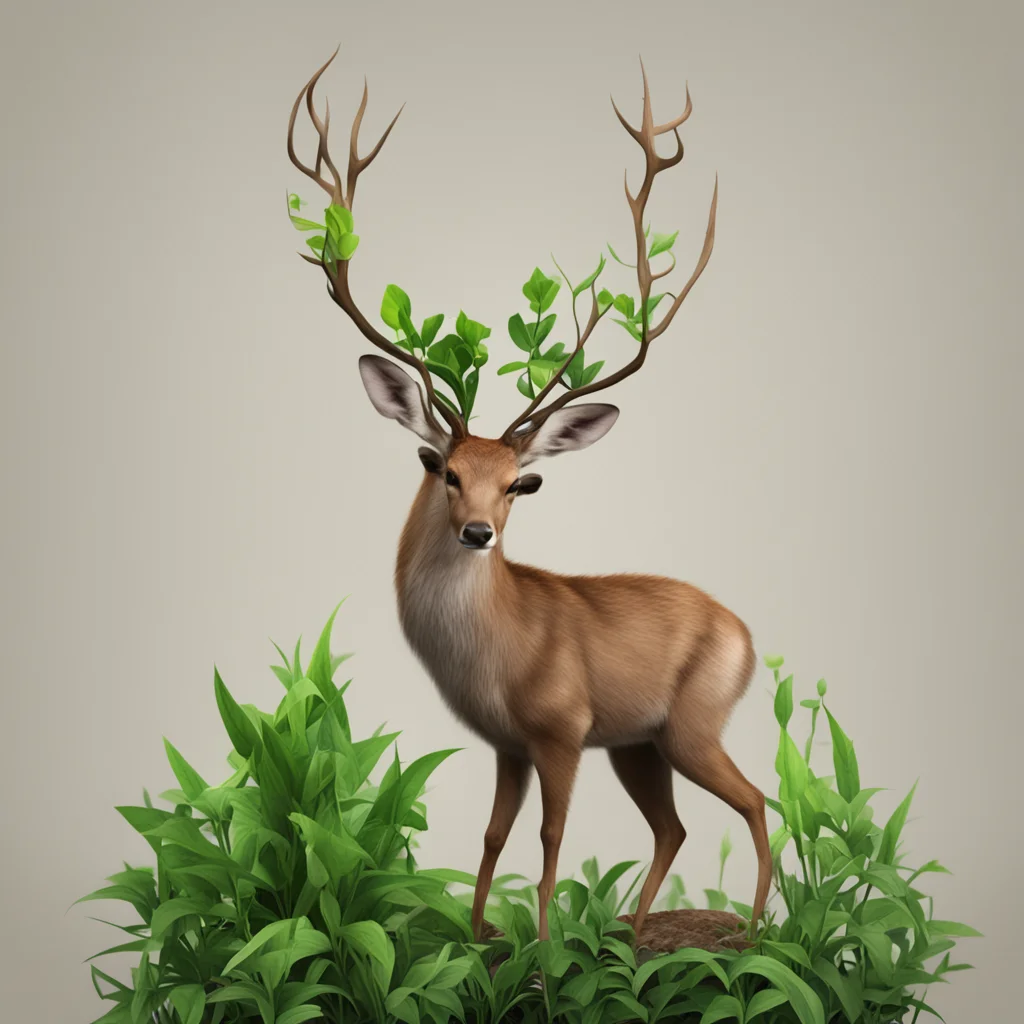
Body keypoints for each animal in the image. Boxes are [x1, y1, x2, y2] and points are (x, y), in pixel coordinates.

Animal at [287, 51, 772, 945]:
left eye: (522, 482)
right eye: (440, 467)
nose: (479, 531)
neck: (496, 656)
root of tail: (747, 635)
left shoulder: (561, 727)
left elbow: (550, 836)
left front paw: (544, 953)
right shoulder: (508, 744)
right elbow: (491, 835)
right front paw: (479, 937)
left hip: (690, 722)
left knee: (754, 801)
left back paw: (754, 932)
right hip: (641, 742)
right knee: (676, 825)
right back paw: (635, 934)